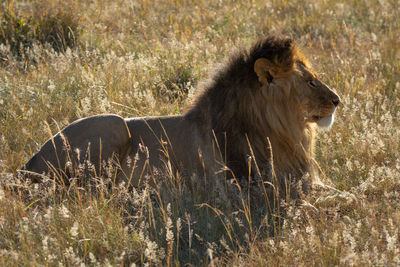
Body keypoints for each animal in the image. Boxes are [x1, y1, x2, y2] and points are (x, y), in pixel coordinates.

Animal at [19, 34, 340, 200]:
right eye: (311, 81)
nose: (338, 100)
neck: (285, 130)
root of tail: (27, 165)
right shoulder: (251, 185)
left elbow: (339, 190)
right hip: (113, 123)